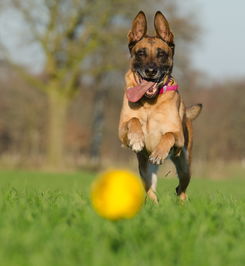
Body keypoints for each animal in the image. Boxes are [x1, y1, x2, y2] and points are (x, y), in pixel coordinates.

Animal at [117, 10, 202, 202]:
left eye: (161, 54)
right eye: (140, 53)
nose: (150, 71)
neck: (150, 104)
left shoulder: (178, 137)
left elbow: (168, 134)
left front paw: (159, 153)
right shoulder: (121, 134)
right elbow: (133, 120)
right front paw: (137, 139)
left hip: (185, 166)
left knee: (181, 189)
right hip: (145, 172)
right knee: (151, 192)